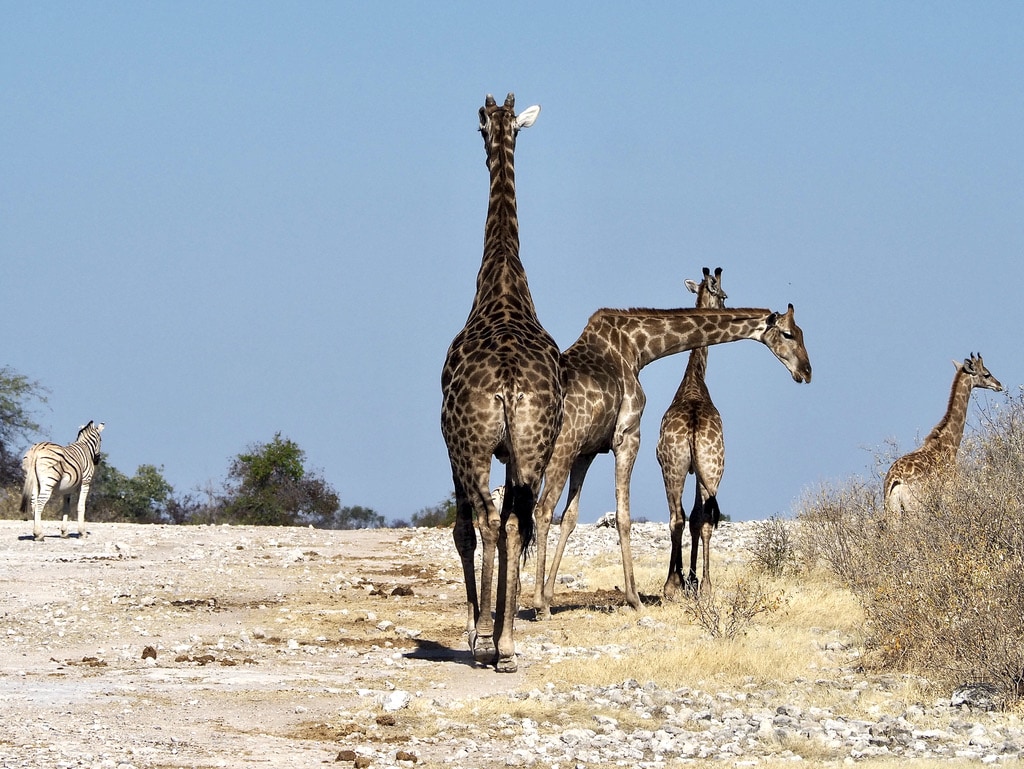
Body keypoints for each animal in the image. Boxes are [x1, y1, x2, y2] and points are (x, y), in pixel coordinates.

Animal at [532, 303, 811, 622]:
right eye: (788, 334)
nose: (806, 371)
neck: (637, 347)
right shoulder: (627, 436)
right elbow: (624, 516)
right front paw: (635, 598)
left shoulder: (588, 450)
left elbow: (570, 517)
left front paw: (550, 594)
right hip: (560, 450)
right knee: (542, 511)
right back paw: (538, 605)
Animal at [884, 354, 1003, 518]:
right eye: (986, 374)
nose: (999, 385)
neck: (950, 442)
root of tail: (894, 480)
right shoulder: (950, 492)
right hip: (916, 509)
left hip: (892, 511)